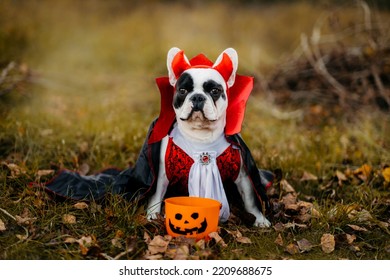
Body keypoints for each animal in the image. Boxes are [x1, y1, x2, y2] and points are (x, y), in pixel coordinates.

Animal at [145, 47, 270, 228]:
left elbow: (251, 200)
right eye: (182, 91)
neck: (201, 135)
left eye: (214, 91)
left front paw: (259, 219)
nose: (197, 96)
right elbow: (155, 194)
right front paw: (152, 215)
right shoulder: (161, 174)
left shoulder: (243, 176)